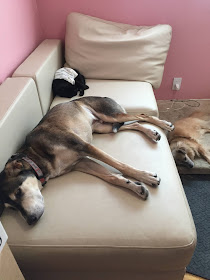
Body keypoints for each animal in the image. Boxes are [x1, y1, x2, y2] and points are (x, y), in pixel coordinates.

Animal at [0, 97, 174, 225]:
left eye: (18, 192)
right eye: (11, 209)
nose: (31, 220)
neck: (35, 156)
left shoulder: (85, 147)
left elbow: (119, 164)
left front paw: (145, 176)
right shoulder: (81, 162)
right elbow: (111, 177)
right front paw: (135, 187)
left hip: (110, 116)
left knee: (141, 116)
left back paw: (164, 124)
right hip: (105, 127)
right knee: (134, 124)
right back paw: (151, 132)